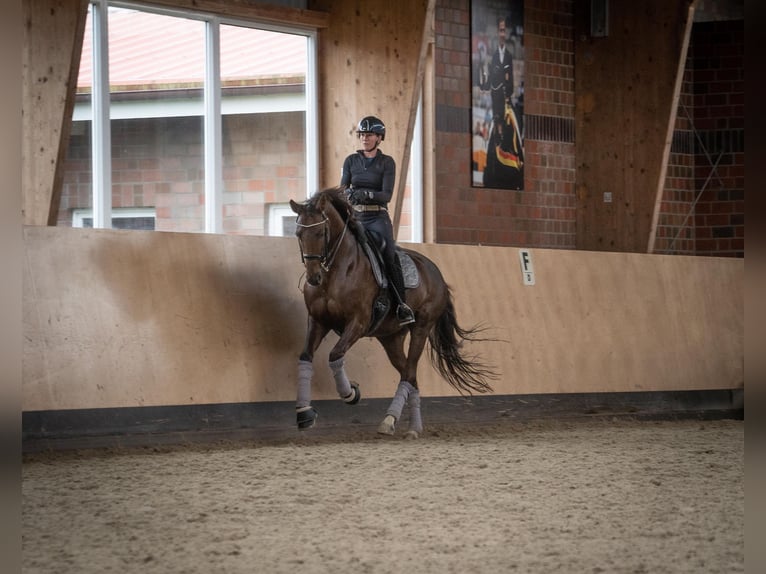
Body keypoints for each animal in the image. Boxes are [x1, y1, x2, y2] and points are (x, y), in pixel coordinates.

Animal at [290, 187, 498, 438]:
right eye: (299, 233)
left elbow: (335, 354)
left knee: (409, 373)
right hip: (391, 338)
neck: (336, 272)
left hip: (421, 328)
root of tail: (437, 273)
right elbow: (305, 357)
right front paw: (304, 413)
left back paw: (390, 421)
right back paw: (412, 427)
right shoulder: (318, 321)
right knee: (411, 376)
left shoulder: (358, 323)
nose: (313, 278)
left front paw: (351, 393)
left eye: (321, 232)